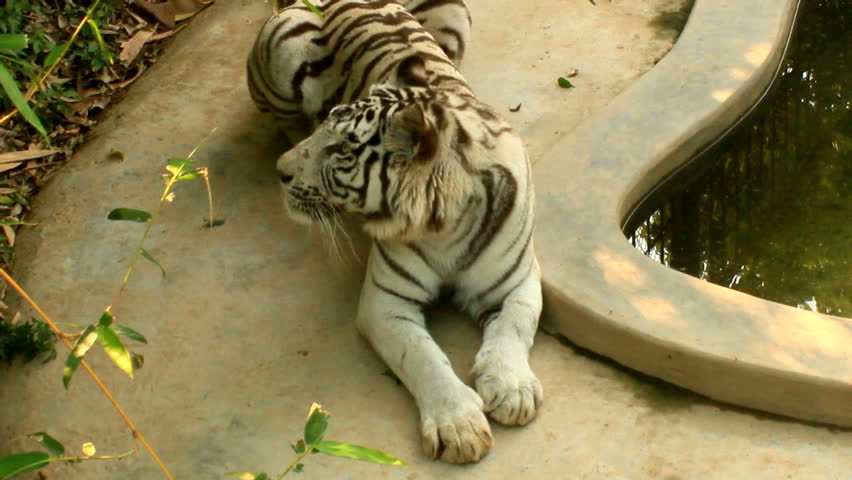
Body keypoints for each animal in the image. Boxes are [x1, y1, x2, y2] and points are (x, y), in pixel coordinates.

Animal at [250, 0, 542, 464]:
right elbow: (422, 356)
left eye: (340, 149)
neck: (446, 223)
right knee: (283, 119)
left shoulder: (517, 279)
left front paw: (512, 388)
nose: (282, 171)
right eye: (327, 134)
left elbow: (515, 323)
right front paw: (459, 425)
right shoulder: (385, 301)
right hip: (281, 48)